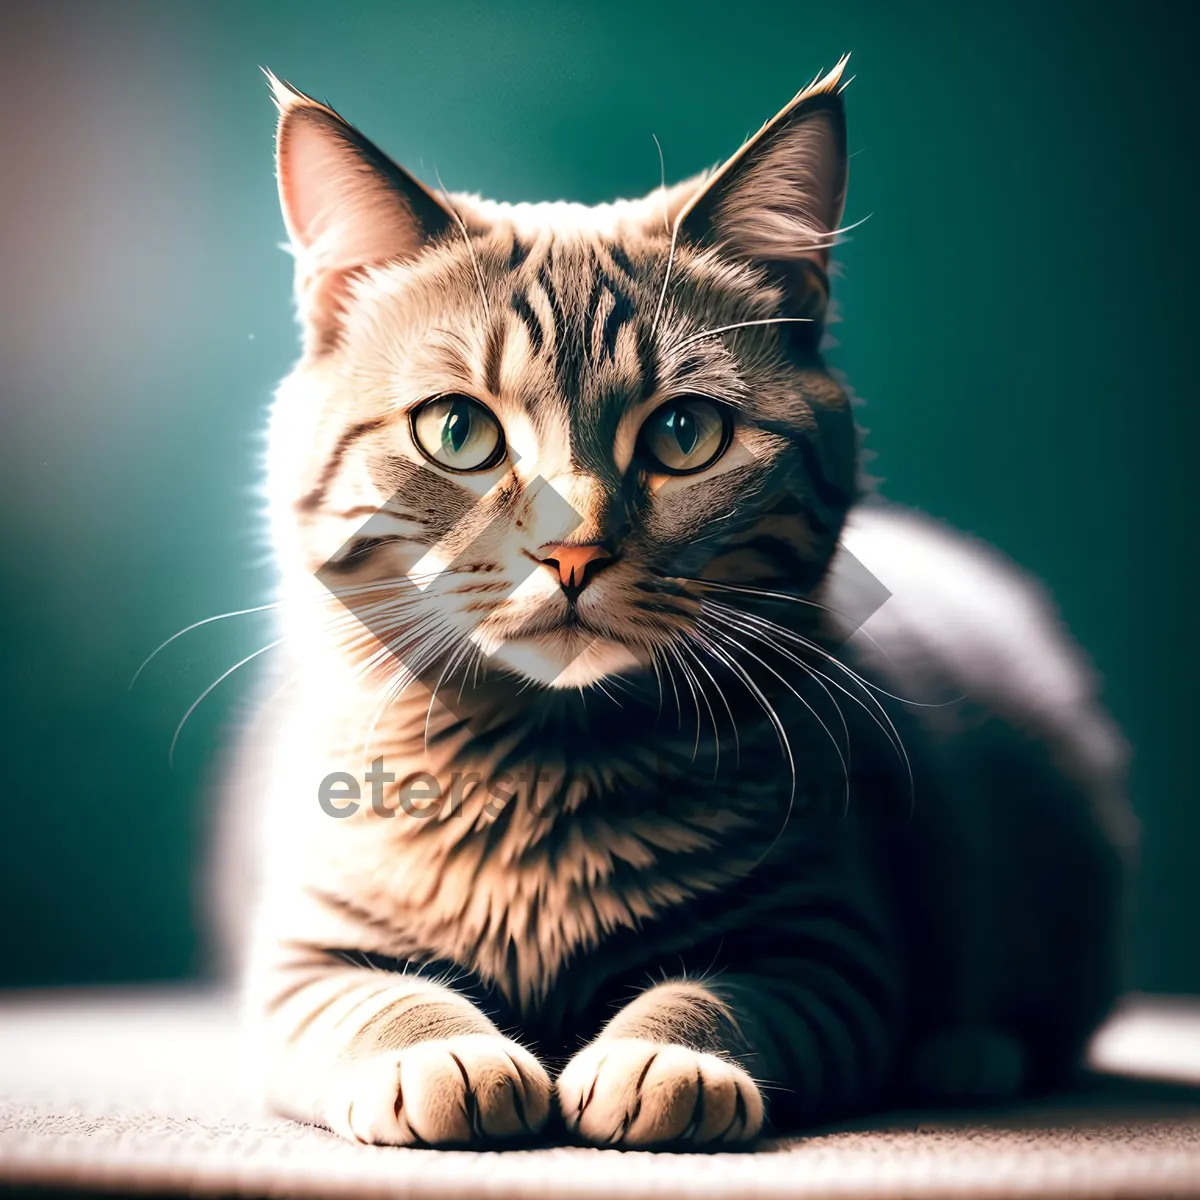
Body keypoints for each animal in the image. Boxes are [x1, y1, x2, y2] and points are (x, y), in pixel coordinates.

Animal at [231, 60, 1132, 1147]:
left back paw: (968, 1056)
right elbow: (373, 999)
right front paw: (438, 1054)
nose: (572, 550)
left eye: (684, 434)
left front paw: (663, 1058)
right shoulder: (301, 959)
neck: (546, 770)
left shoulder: (827, 950)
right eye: (457, 432)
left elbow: (718, 993)